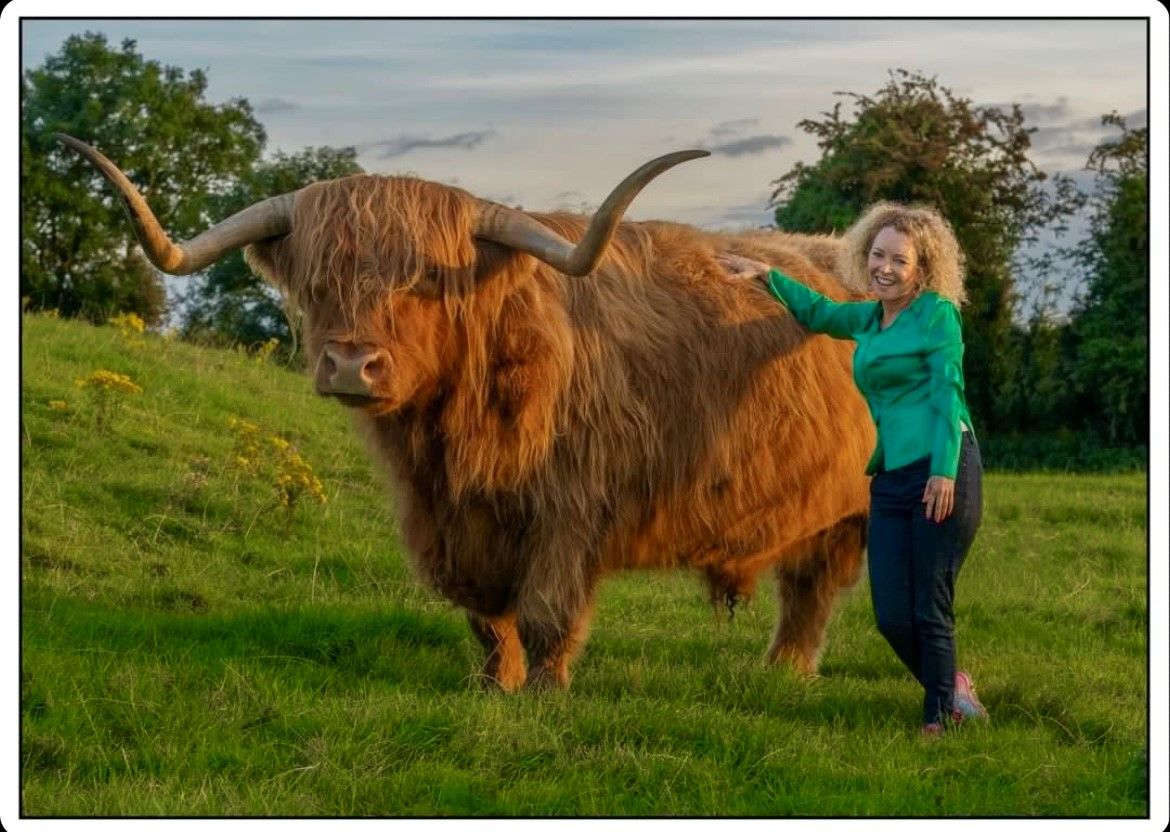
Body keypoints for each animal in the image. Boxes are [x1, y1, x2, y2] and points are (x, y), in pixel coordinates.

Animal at [57, 134, 875, 691]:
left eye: (424, 278)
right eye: (320, 281)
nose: (351, 365)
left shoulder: (572, 509)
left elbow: (546, 614)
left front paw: (543, 695)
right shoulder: (453, 522)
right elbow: (485, 615)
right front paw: (494, 686)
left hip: (851, 510)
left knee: (812, 592)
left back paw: (786, 672)